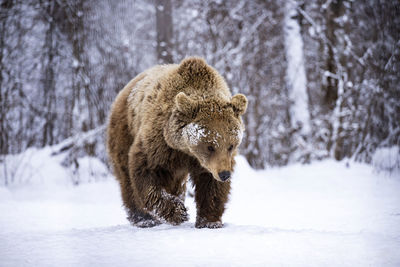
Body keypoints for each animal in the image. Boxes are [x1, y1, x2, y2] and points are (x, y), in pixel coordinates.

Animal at [108, 56, 248, 228]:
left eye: (231, 145)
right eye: (210, 146)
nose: (224, 174)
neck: (186, 149)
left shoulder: (207, 162)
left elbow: (211, 186)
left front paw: (209, 221)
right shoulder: (160, 143)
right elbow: (145, 171)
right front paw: (178, 212)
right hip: (125, 129)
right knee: (126, 178)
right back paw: (144, 219)